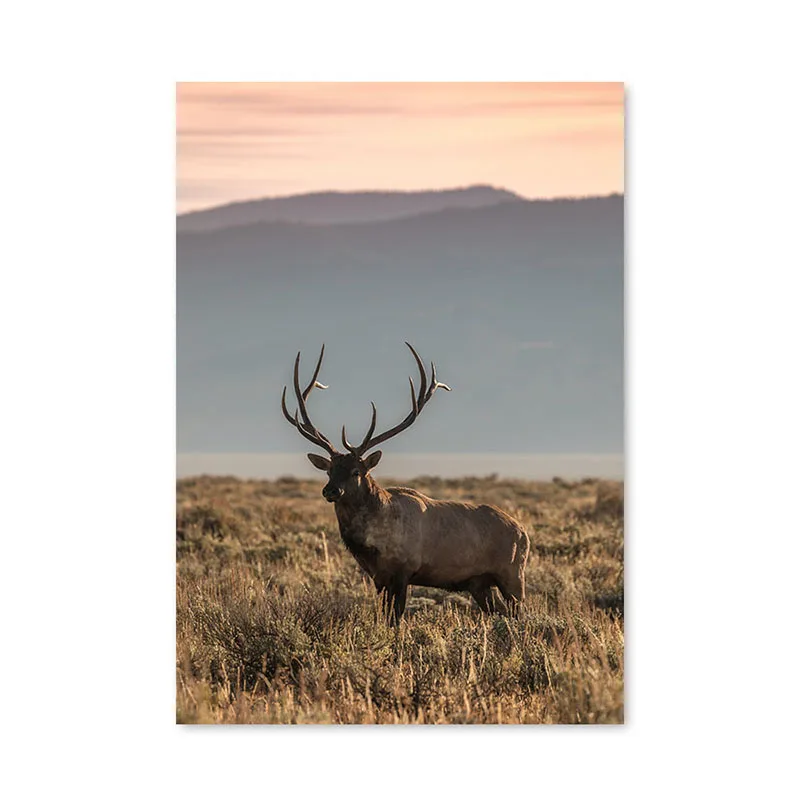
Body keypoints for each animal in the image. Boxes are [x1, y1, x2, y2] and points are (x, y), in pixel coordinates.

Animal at [281, 343, 530, 624]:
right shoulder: (379, 578)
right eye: (330, 471)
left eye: (356, 471)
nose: (330, 490)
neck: (372, 544)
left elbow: (396, 619)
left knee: (520, 614)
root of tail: (523, 532)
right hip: (479, 583)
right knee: (500, 613)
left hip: (513, 575)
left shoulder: (403, 572)